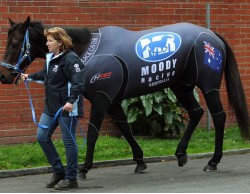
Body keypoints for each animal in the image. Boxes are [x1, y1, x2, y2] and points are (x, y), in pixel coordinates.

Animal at [0, 16, 250, 177]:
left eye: (16, 42)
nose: (4, 75)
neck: (87, 50)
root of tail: (212, 36)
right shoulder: (112, 102)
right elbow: (125, 127)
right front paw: (139, 161)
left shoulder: (102, 98)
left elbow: (93, 133)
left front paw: (84, 168)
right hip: (183, 86)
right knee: (196, 112)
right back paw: (181, 154)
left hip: (208, 87)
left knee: (218, 116)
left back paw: (213, 161)